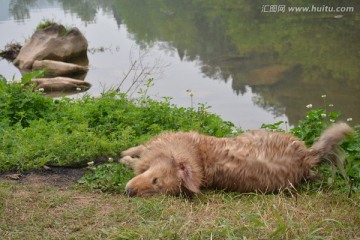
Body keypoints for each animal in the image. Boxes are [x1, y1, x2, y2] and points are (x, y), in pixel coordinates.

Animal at [119, 124, 350, 197]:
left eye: (156, 185)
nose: (129, 192)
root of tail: (305, 158)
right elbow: (139, 149)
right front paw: (127, 152)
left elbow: (135, 156)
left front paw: (124, 157)